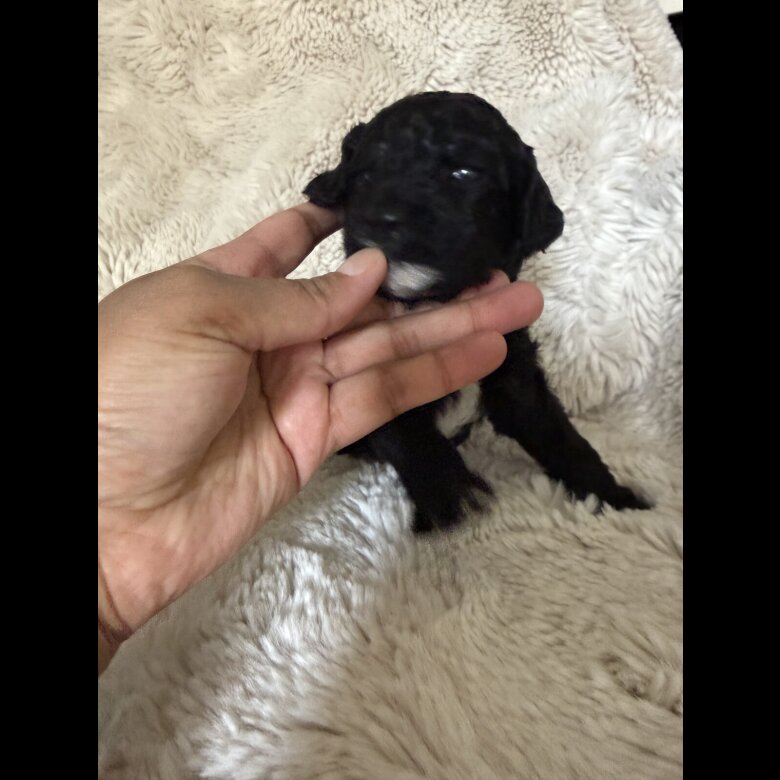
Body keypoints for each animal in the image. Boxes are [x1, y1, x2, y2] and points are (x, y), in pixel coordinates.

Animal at [304, 91, 650, 533]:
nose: (381, 219)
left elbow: (559, 435)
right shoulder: (372, 381)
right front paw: (451, 499)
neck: (435, 302)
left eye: (464, 172)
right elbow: (409, 435)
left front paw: (616, 500)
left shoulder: (515, 372)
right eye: (365, 175)